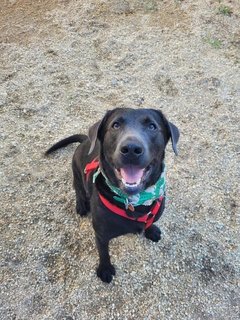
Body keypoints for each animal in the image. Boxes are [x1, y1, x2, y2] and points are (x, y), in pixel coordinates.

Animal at [46, 107, 179, 282]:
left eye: (152, 126)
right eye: (115, 125)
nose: (131, 149)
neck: (134, 202)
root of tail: (85, 140)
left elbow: (149, 223)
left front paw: (151, 230)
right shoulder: (101, 234)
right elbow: (103, 253)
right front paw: (105, 269)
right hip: (77, 174)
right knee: (78, 191)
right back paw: (81, 206)